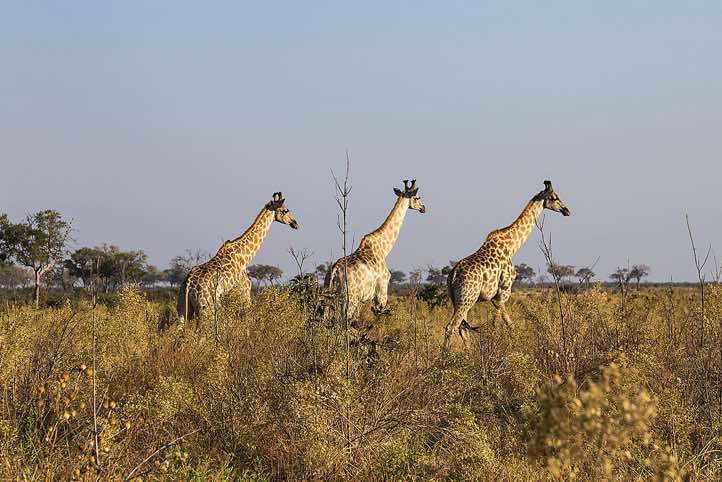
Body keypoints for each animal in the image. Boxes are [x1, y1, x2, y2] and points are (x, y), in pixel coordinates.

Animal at [177, 192, 298, 329]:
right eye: (286, 210)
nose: (295, 223)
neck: (244, 257)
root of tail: (188, 284)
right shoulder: (244, 293)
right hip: (206, 308)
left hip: (183, 309)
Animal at [325, 180, 426, 319]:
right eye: (417, 197)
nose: (423, 208)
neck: (384, 249)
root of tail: (334, 271)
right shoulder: (381, 292)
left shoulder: (363, 300)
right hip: (349, 298)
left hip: (327, 298)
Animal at [443, 180, 570, 349]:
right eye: (554, 197)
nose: (567, 210)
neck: (512, 246)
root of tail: (453, 274)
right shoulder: (504, 290)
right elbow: (498, 324)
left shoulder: (495, 297)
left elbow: (507, 323)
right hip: (467, 298)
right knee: (452, 326)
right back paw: (445, 355)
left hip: (458, 300)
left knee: (462, 328)